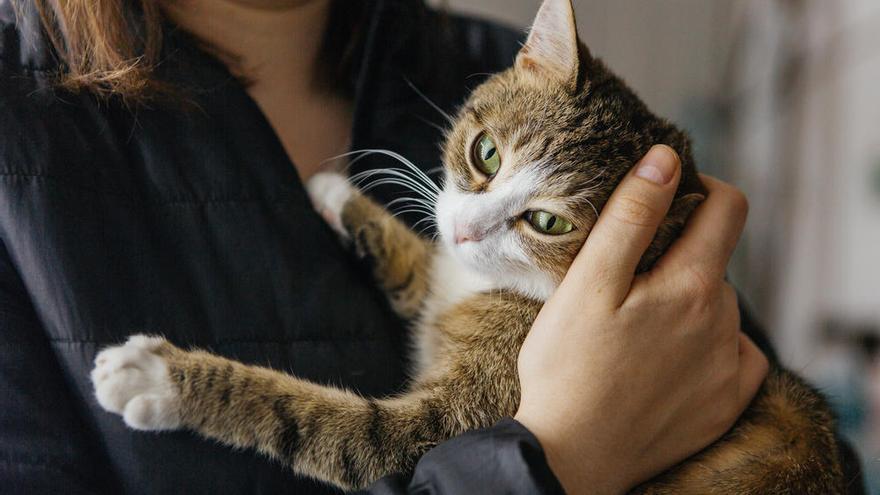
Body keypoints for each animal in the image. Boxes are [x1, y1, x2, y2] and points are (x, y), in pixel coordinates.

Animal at [91, 0, 844, 492]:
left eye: (547, 223)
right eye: (485, 153)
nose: (464, 230)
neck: (508, 293)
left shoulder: (461, 415)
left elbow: (335, 426)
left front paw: (158, 376)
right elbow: (425, 273)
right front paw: (340, 196)